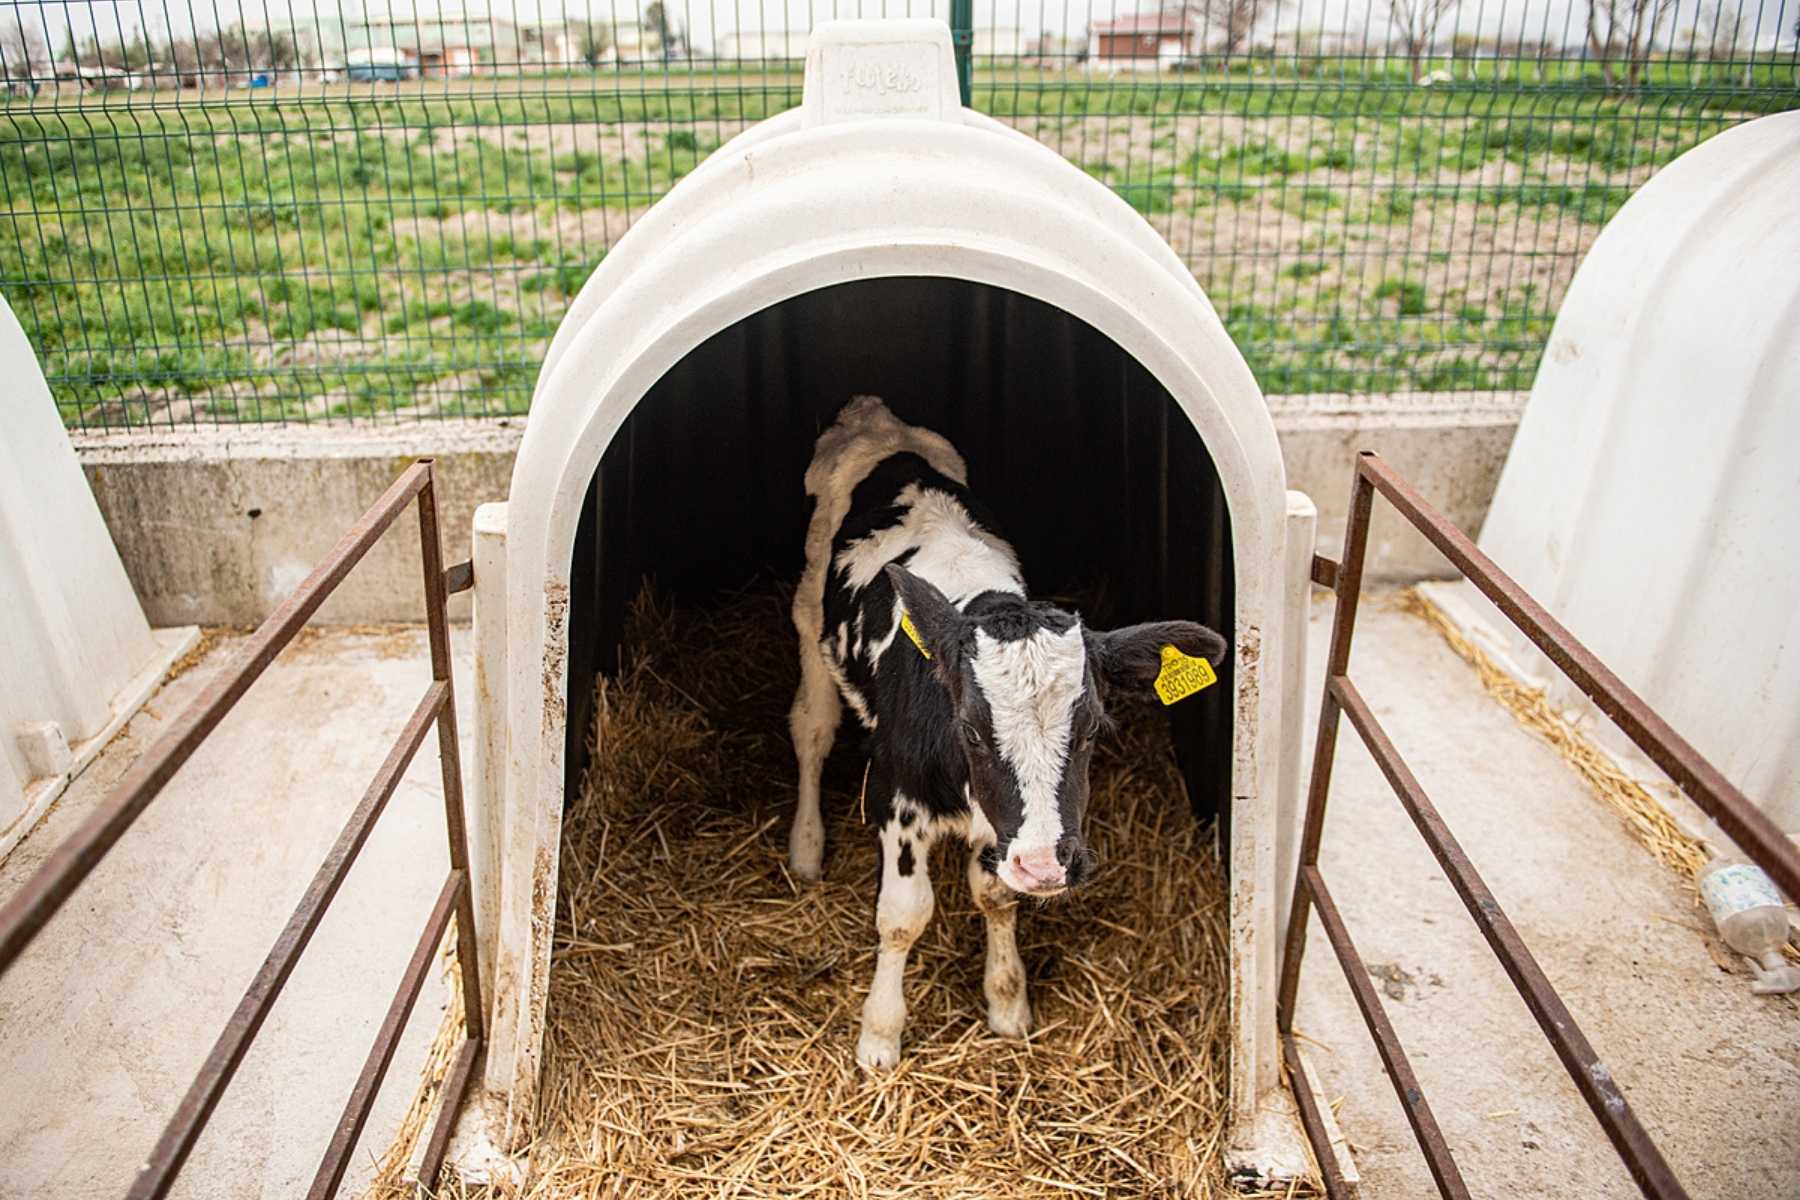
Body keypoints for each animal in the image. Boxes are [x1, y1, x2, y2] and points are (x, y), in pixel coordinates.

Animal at [788, 394, 1224, 1072]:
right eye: (969, 729)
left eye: (1093, 728)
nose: (1047, 865)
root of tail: (875, 415)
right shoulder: (895, 794)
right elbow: (903, 915)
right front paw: (880, 1035)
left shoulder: (1006, 827)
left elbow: (995, 896)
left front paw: (1007, 1002)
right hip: (809, 619)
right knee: (811, 731)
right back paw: (805, 847)